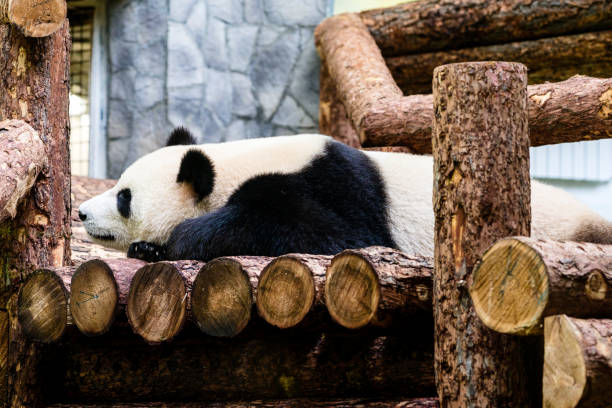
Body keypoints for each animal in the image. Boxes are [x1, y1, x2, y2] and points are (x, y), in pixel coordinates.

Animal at [79, 126, 612, 262]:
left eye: (124, 196)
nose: (82, 213)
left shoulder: (332, 186)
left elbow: (332, 233)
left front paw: (184, 238)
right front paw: (149, 248)